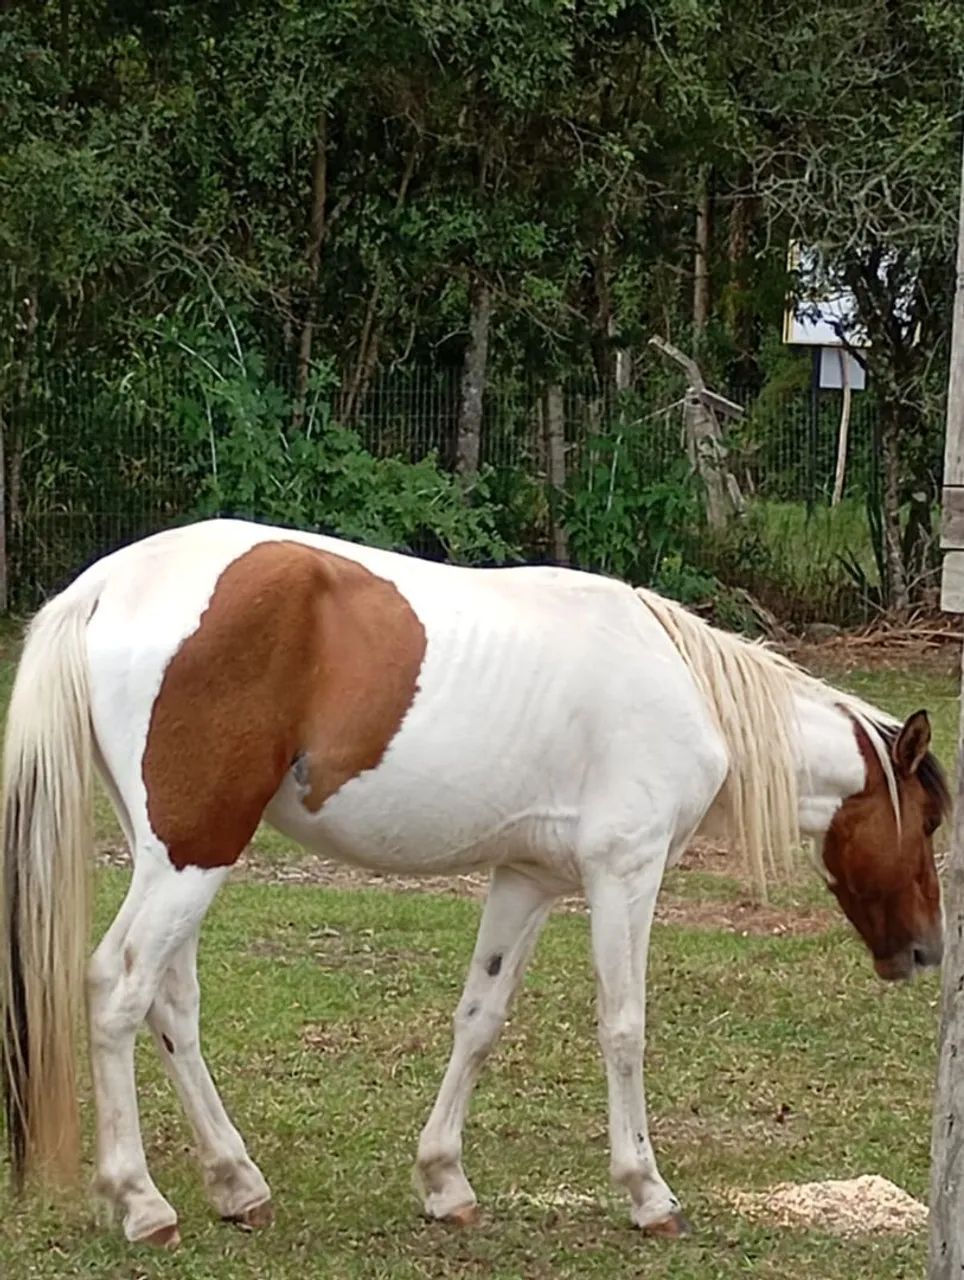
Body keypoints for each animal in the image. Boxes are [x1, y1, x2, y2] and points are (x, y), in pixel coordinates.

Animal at [0, 517, 950, 1248]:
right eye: (932, 822)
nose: (927, 951)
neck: (686, 693)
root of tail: (105, 586)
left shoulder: (527, 879)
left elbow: (479, 1019)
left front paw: (445, 1182)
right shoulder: (625, 873)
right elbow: (625, 1028)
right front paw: (647, 1194)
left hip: (178, 855)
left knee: (171, 1003)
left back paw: (238, 1184)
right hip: (192, 854)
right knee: (118, 988)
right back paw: (143, 1202)